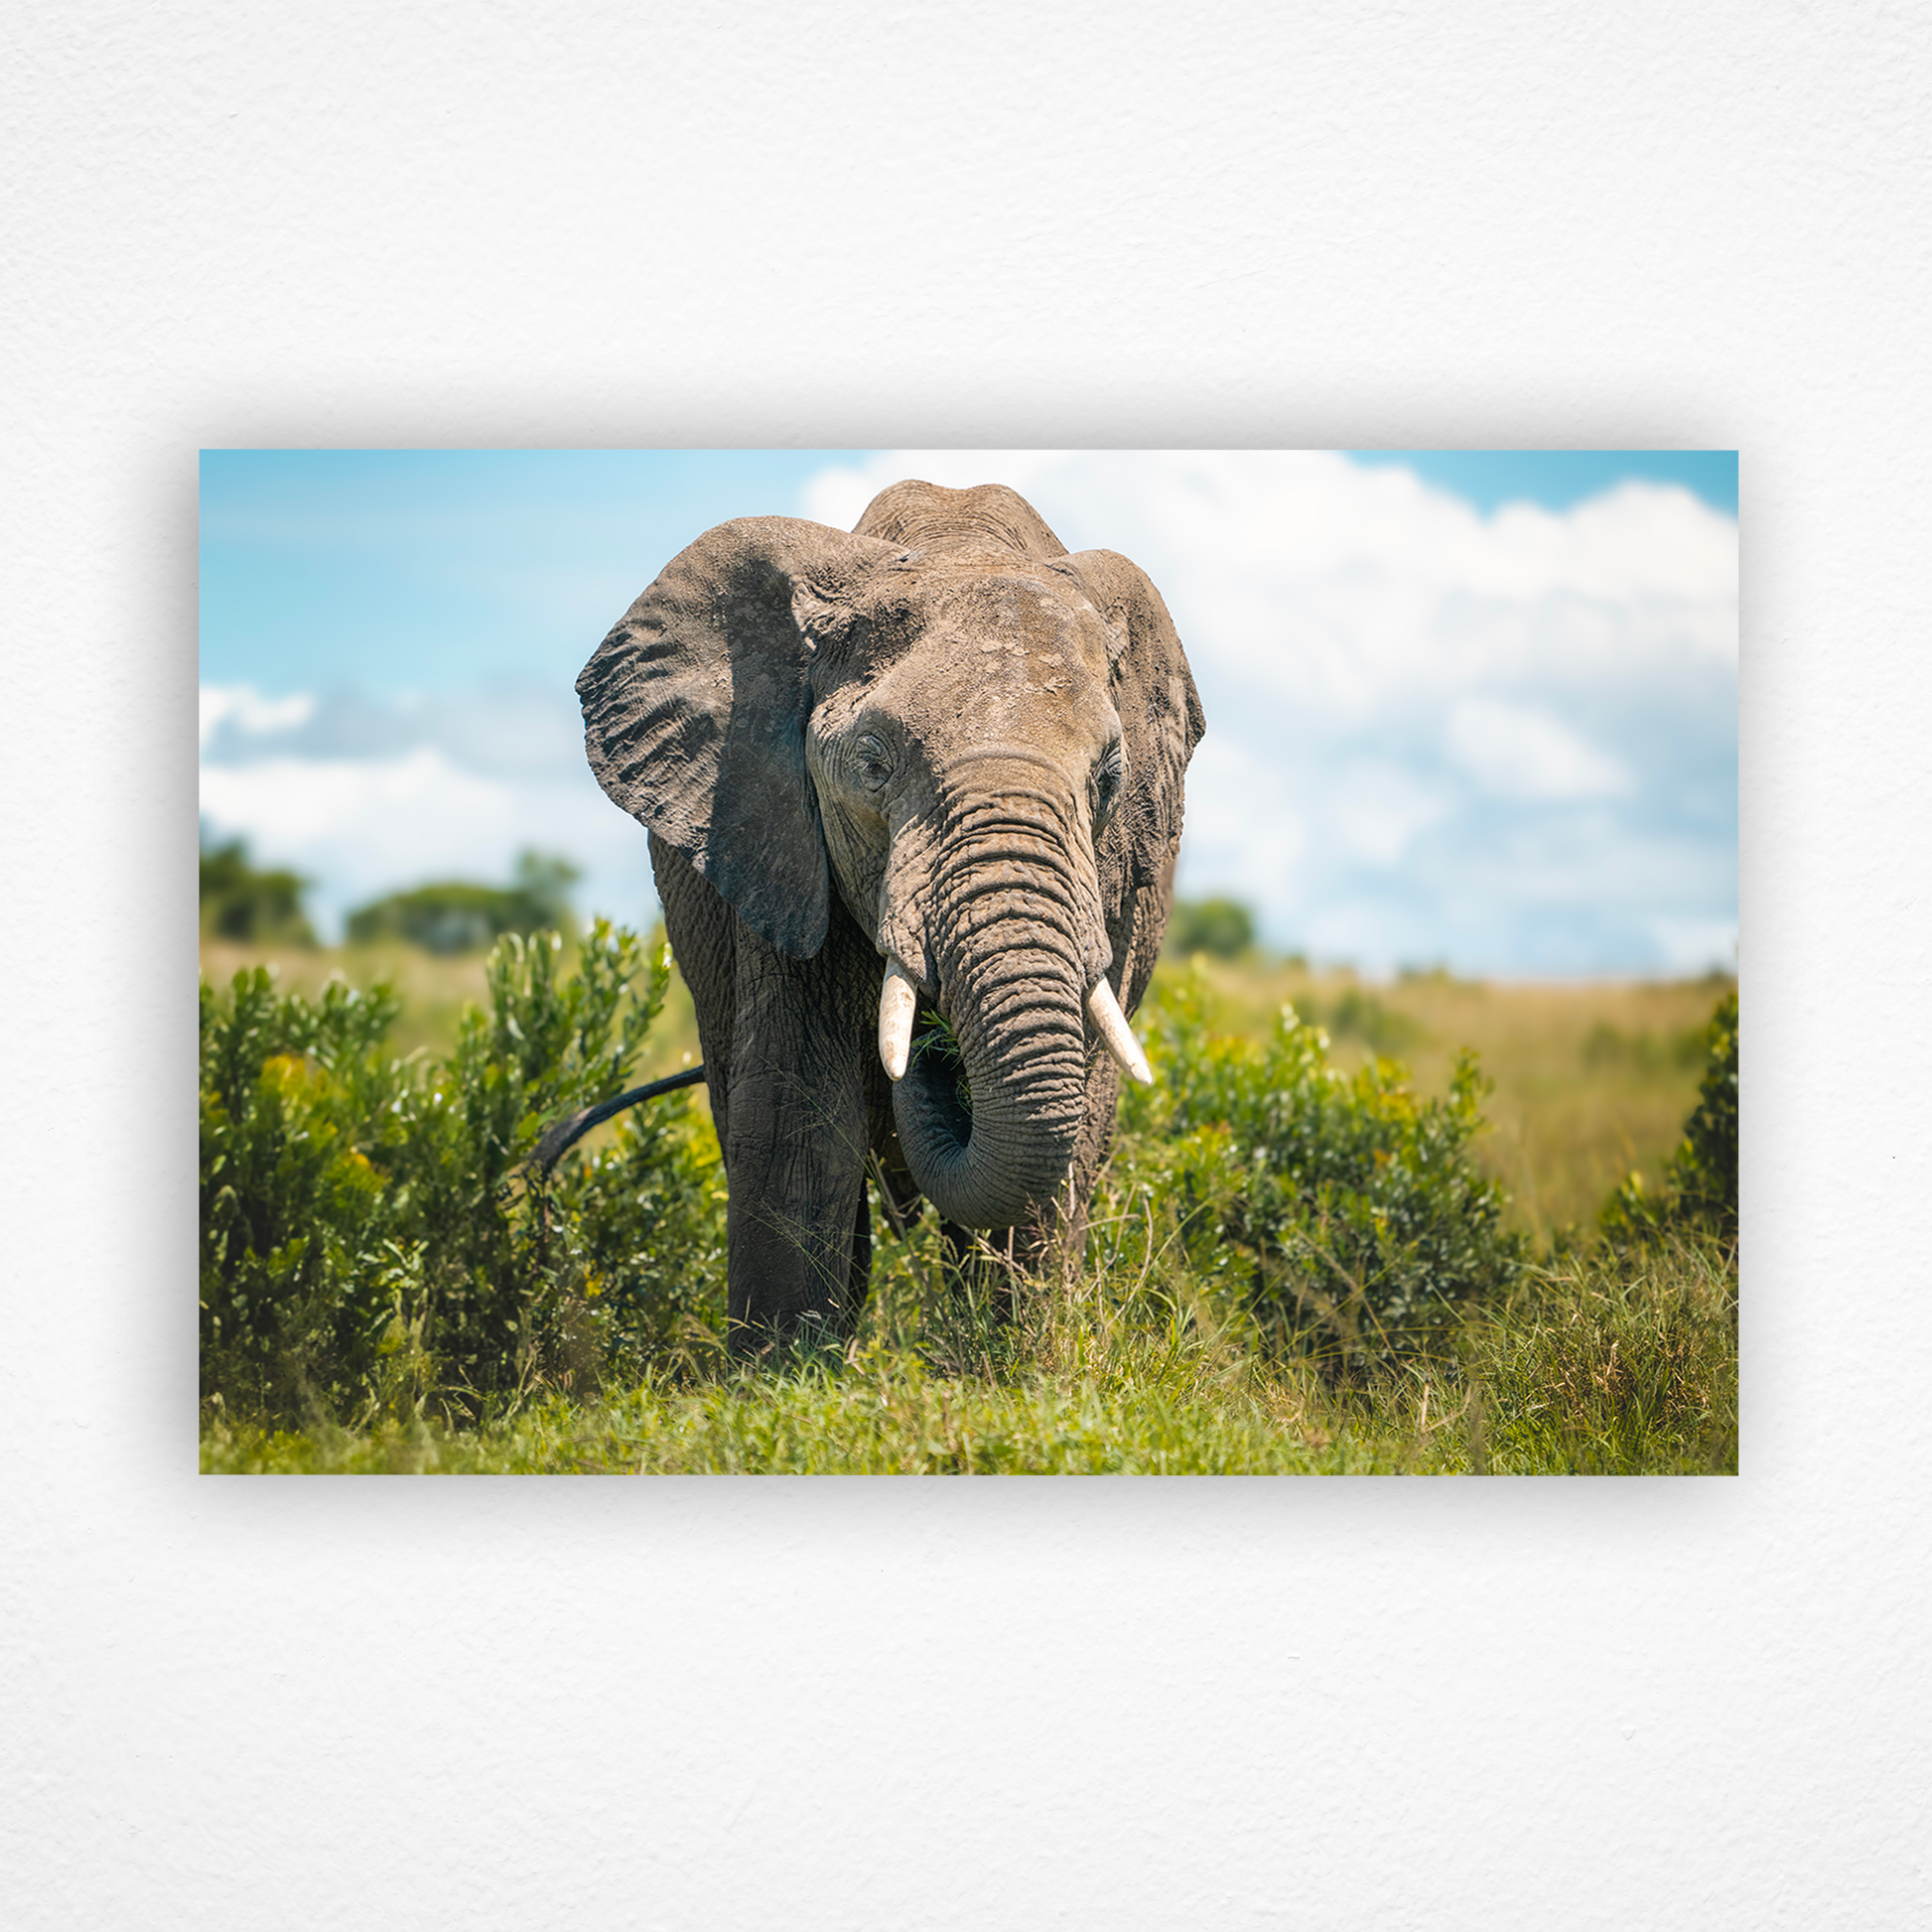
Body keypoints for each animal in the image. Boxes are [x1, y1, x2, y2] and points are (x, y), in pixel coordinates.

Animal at [577, 478, 1205, 1346]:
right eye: (872, 765)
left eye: (1109, 777)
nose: (932, 1040)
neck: (954, 543)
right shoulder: (771, 835)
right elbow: (797, 1117)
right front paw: (784, 1372)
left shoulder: (1110, 886)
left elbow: (1070, 1132)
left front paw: (1022, 1365)